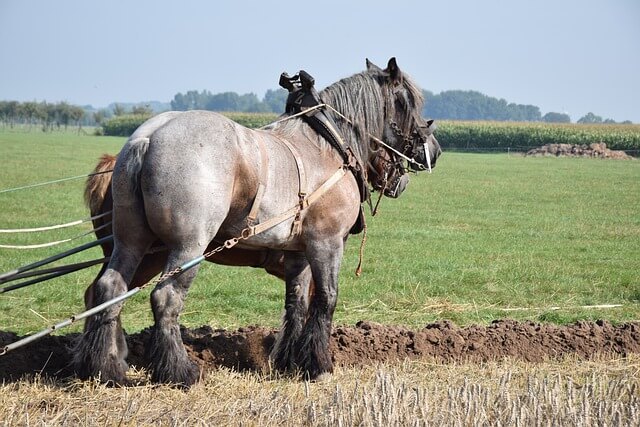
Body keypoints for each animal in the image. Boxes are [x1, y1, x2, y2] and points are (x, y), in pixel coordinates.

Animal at [74, 57, 440, 388]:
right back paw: (178, 371)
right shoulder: (327, 243)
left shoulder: (298, 252)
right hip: (186, 246)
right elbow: (326, 299)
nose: (433, 151)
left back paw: (105, 367)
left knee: (109, 290)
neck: (329, 146)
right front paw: (318, 364)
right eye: (408, 101)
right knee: (164, 299)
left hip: (132, 241)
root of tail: (147, 139)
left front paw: (289, 361)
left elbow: (296, 303)